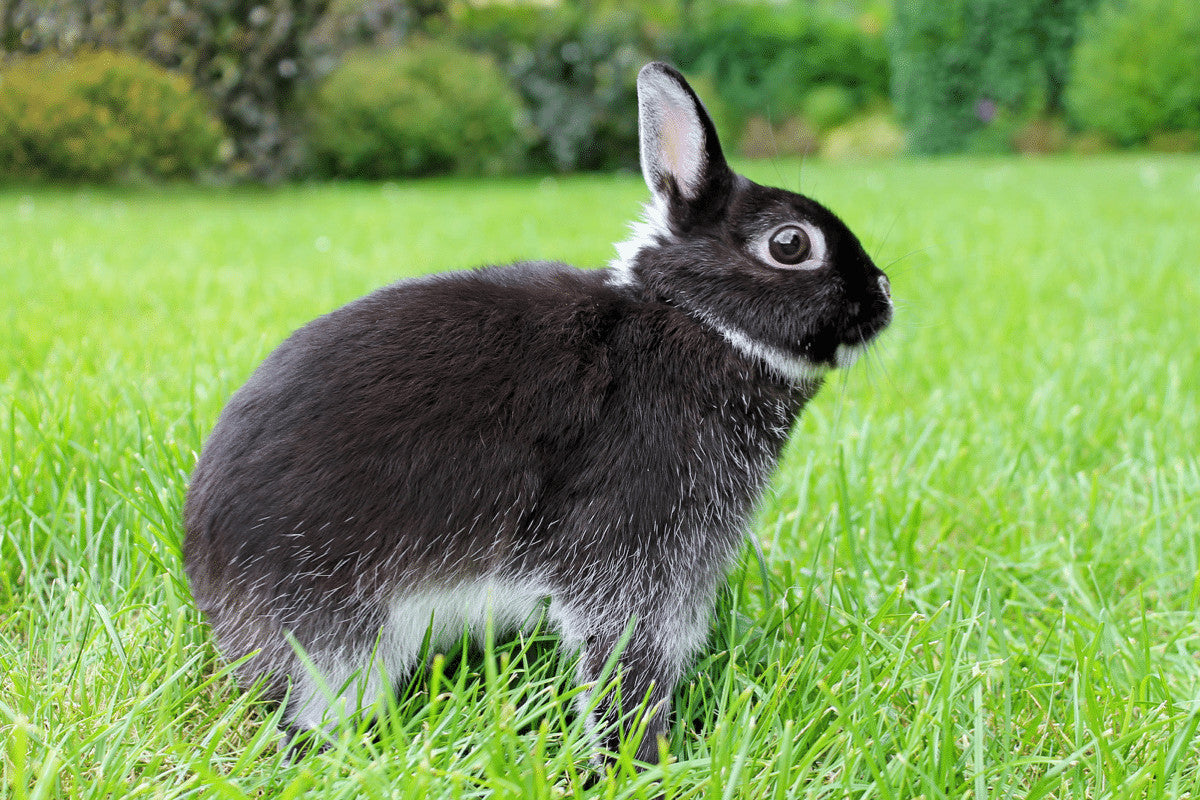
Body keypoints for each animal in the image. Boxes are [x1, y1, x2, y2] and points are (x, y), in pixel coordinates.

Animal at [180, 62, 892, 762]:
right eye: (791, 244)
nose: (883, 295)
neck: (699, 321)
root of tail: (207, 572)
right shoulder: (629, 552)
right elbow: (623, 659)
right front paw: (640, 757)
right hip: (337, 624)